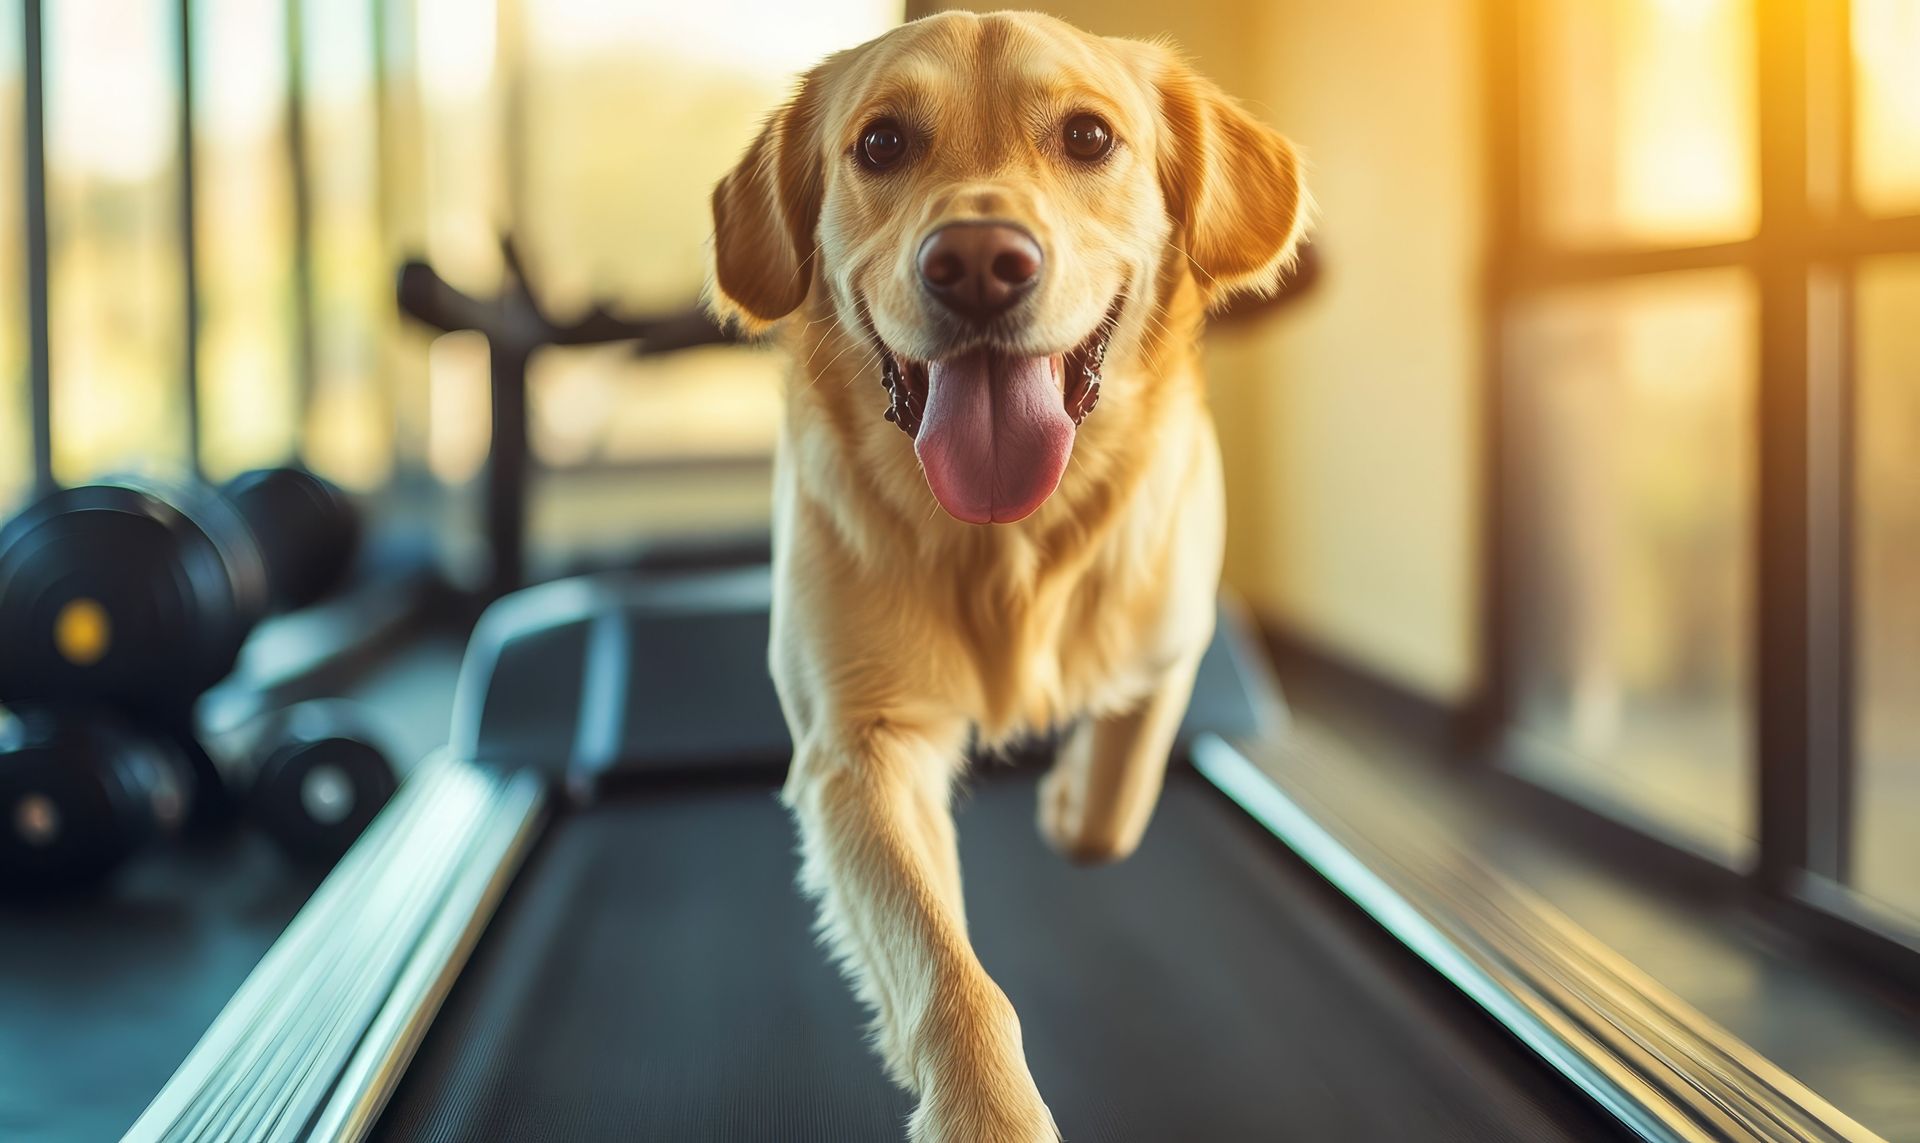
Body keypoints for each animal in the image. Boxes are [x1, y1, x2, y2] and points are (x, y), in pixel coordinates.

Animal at [706, 11, 1305, 1143]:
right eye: (881, 143)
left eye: (1089, 137)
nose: (979, 261)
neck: (1008, 544)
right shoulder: (856, 750)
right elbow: (948, 971)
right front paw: (988, 1111)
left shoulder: (1175, 635)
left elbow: (1121, 785)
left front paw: (1070, 800)